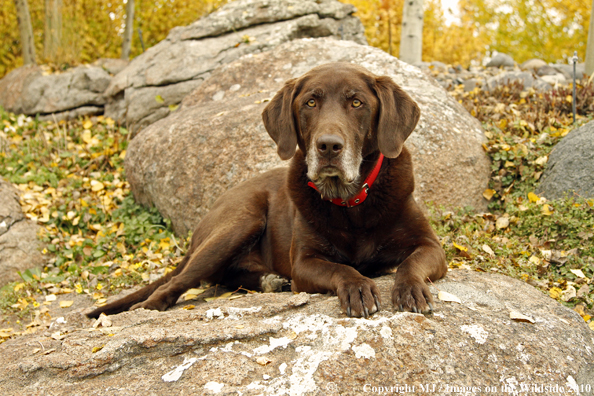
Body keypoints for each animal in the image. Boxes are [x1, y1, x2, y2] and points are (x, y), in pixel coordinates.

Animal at [86, 63, 444, 320]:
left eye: (357, 102)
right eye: (310, 102)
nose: (328, 146)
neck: (350, 204)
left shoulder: (432, 247)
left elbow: (411, 264)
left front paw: (411, 289)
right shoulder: (304, 264)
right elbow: (341, 268)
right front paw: (358, 286)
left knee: (223, 277)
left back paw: (269, 281)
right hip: (243, 220)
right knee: (181, 281)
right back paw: (145, 308)